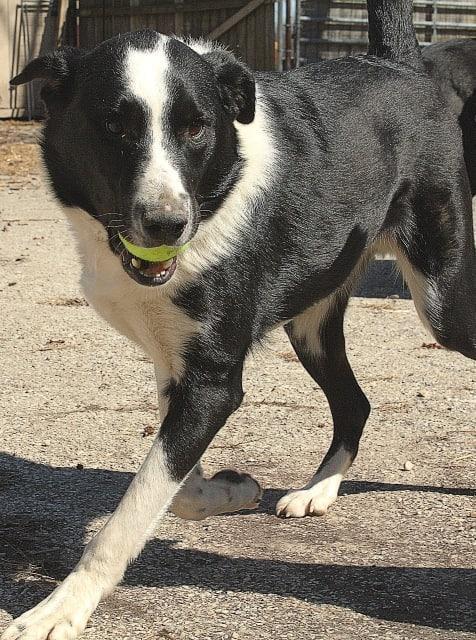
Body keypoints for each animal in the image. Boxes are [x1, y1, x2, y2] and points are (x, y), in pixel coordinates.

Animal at [3, 1, 476, 640]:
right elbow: (170, 486)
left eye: (196, 128)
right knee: (355, 402)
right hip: (311, 326)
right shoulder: (180, 367)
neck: (214, 197)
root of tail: (397, 63)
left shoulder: (212, 382)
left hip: (442, 304)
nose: (167, 223)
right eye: (115, 126)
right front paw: (228, 492)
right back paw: (318, 491)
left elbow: (131, 512)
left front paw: (61, 608)